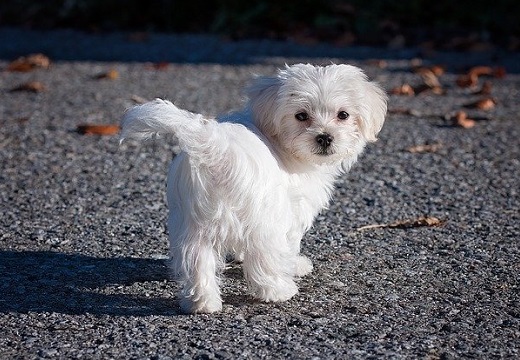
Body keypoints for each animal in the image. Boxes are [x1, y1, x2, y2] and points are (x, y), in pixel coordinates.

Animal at [119, 64, 386, 312]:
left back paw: (202, 303)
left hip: (193, 223)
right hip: (263, 219)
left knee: (197, 261)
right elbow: (290, 243)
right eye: (301, 116)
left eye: (343, 115)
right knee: (264, 256)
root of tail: (217, 149)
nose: (325, 137)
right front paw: (295, 265)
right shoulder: (292, 210)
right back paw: (278, 290)